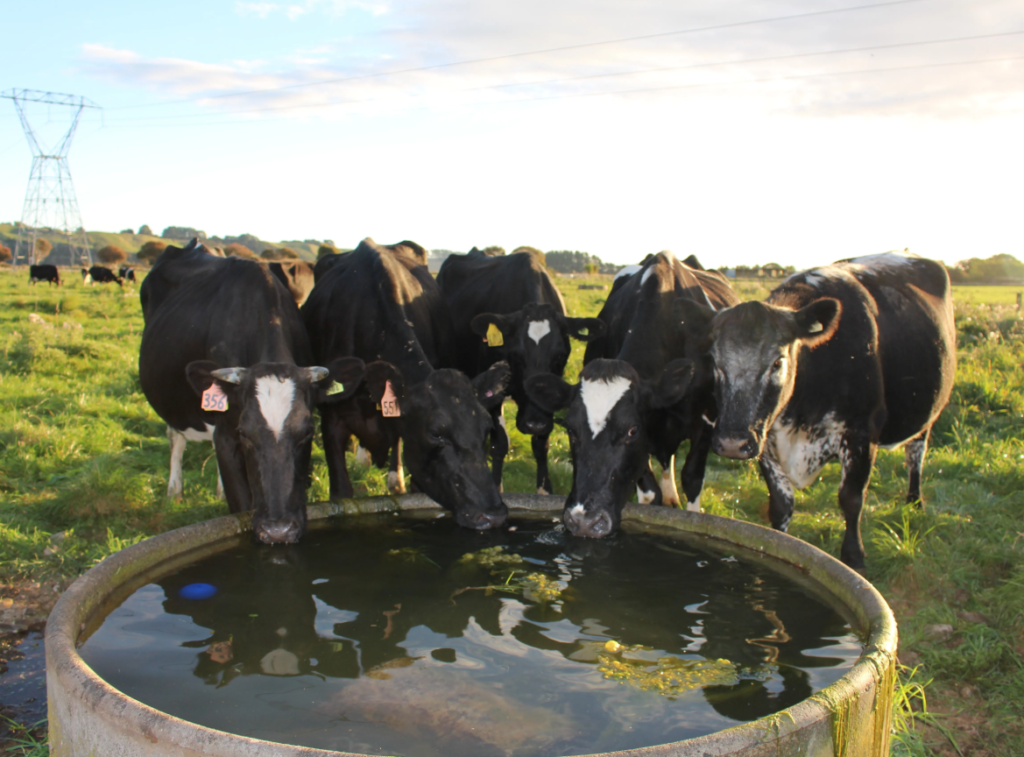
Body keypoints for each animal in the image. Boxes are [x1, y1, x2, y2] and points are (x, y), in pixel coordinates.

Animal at [140, 239, 366, 544]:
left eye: (308, 432)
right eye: (244, 433)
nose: (278, 530)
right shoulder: (226, 432)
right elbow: (241, 503)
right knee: (175, 436)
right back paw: (174, 489)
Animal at [437, 247, 604, 494]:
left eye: (560, 356)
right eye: (515, 354)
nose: (534, 423)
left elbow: (541, 444)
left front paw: (544, 490)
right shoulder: (493, 389)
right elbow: (499, 444)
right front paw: (496, 485)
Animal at [525, 251, 739, 538]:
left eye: (632, 430)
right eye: (570, 430)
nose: (584, 521)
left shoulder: (705, 419)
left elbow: (693, 479)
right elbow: (650, 494)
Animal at [678, 251, 956, 570]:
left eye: (778, 362)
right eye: (715, 362)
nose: (732, 443)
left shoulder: (861, 434)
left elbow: (851, 498)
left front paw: (854, 558)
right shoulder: (766, 437)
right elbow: (781, 504)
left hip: (928, 414)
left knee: (916, 454)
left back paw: (914, 500)